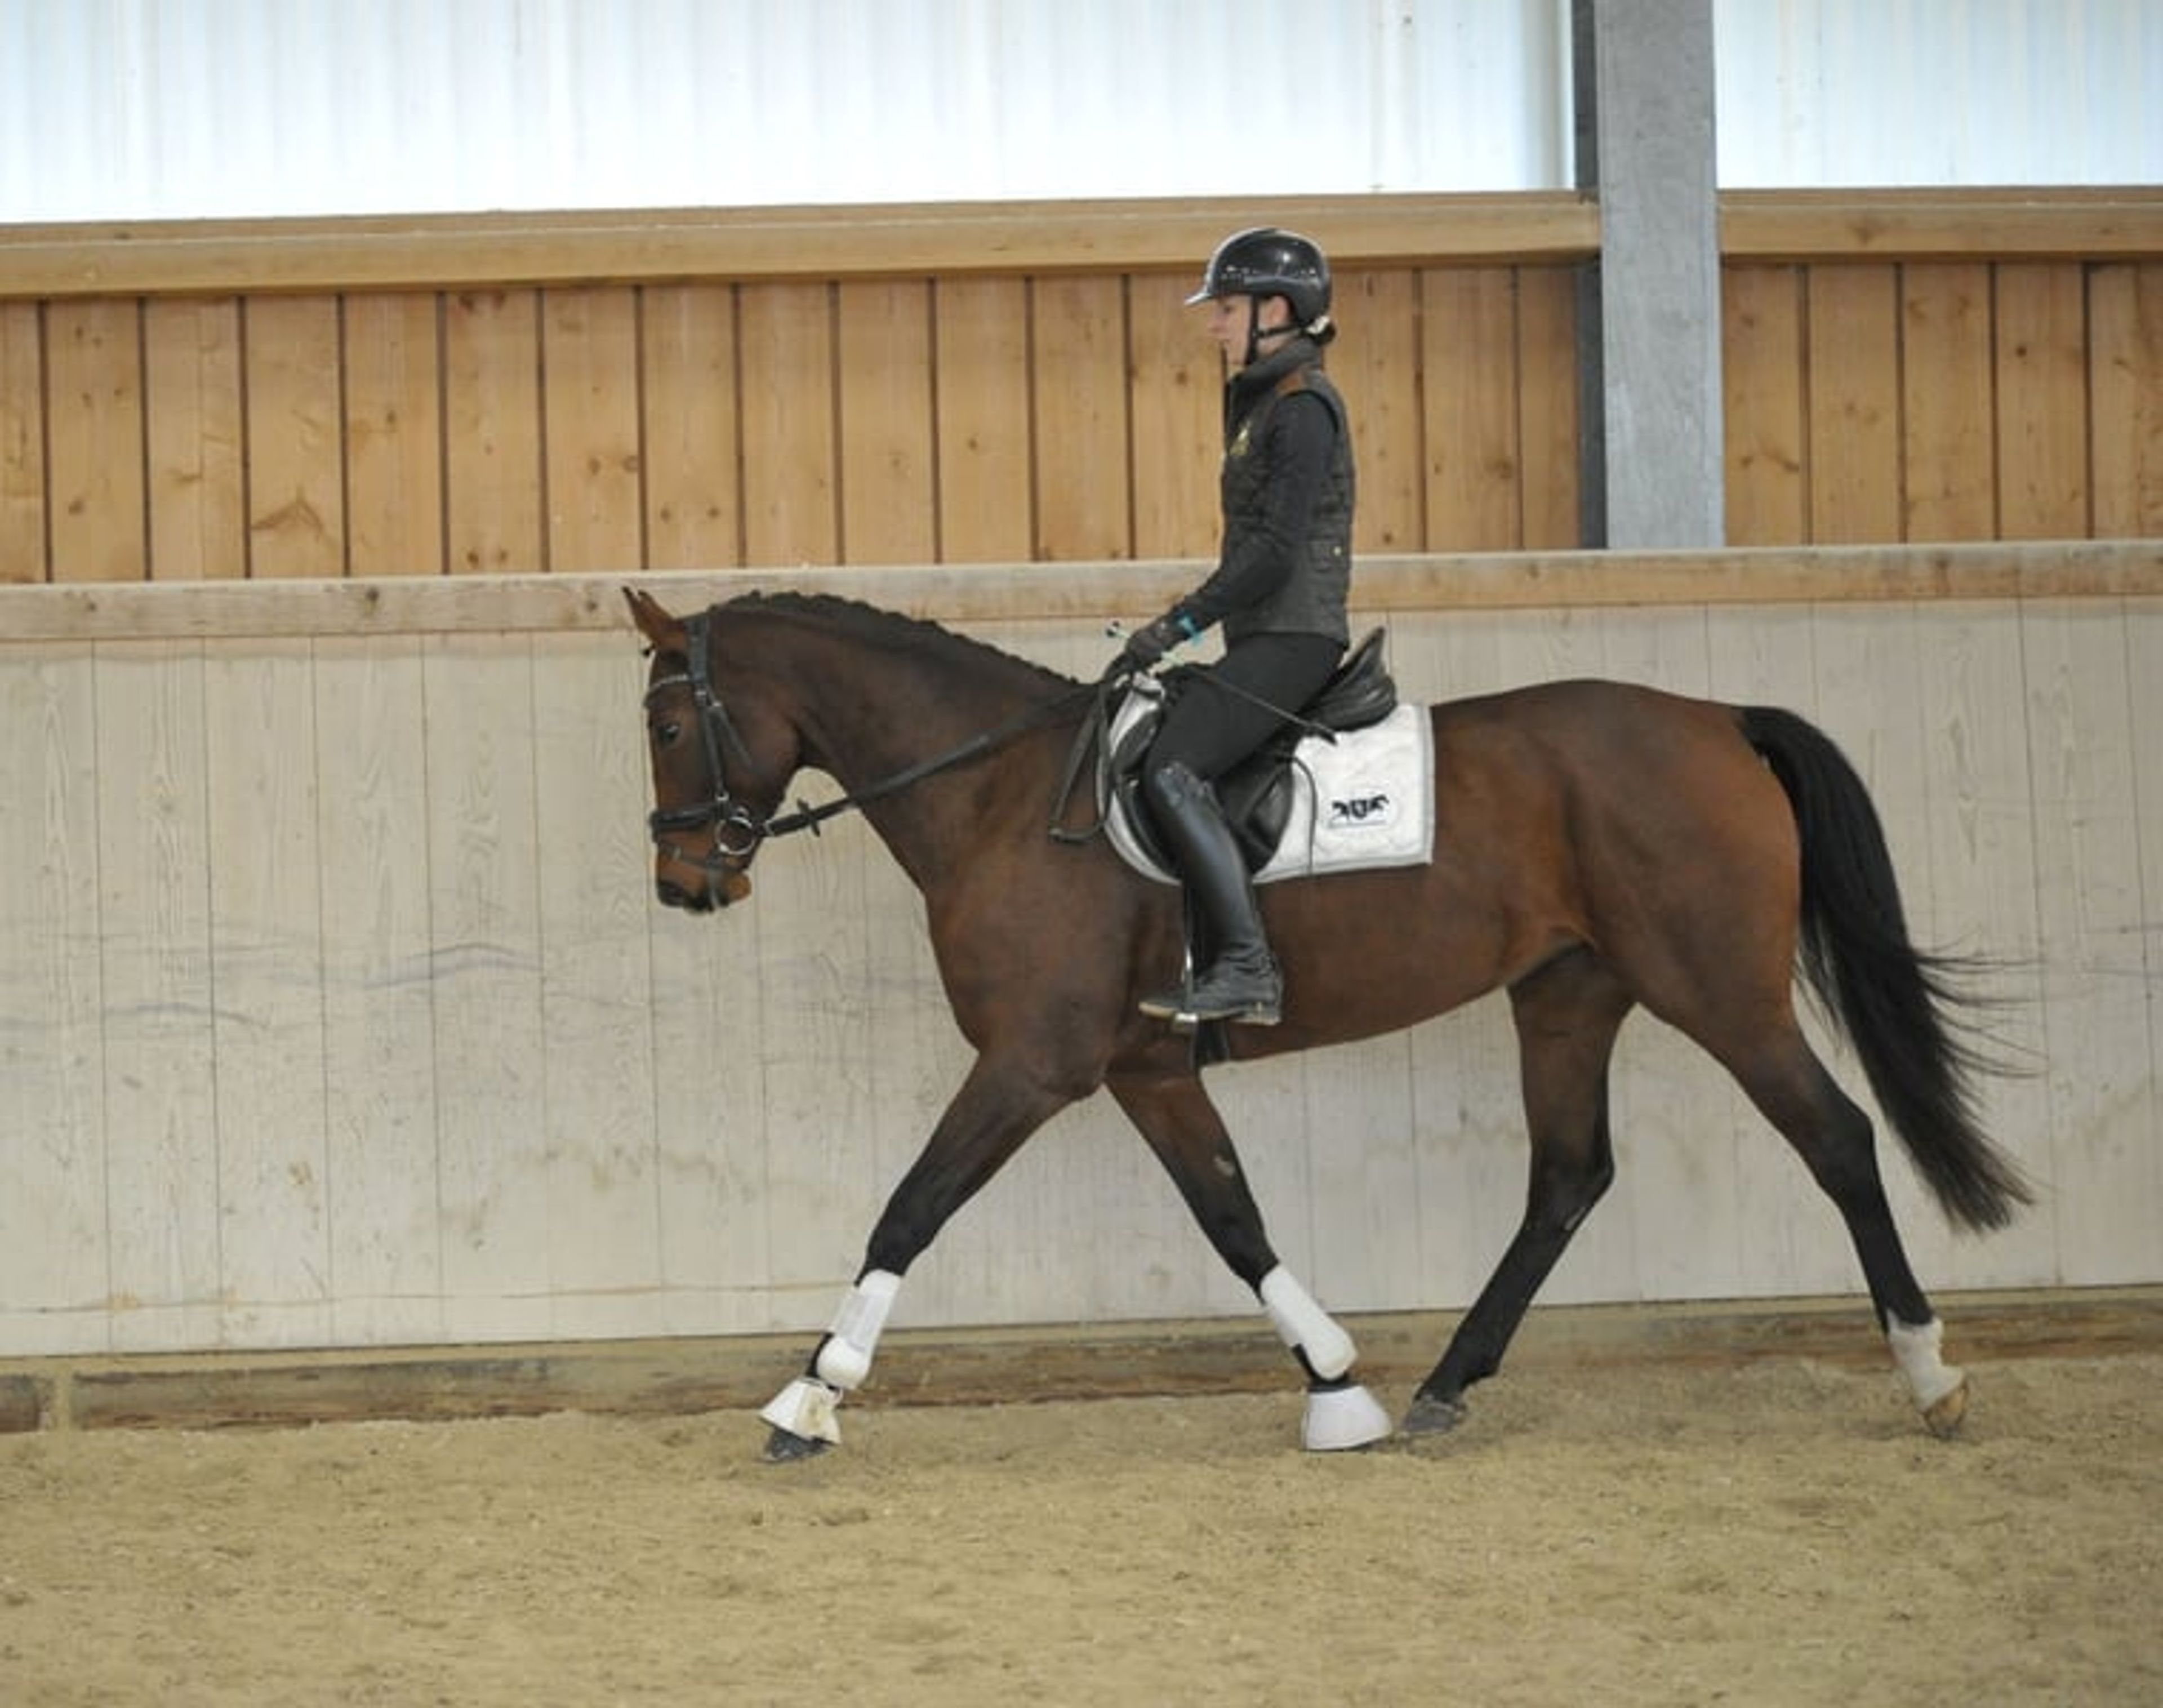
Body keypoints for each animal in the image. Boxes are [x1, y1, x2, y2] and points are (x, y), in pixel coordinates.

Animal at [623, 586, 2029, 1462]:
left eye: (669, 721)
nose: (686, 884)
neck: (1003, 795)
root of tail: (1718, 720)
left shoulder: (1031, 1064)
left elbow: (910, 1209)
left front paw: (810, 1397)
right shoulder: (1143, 1070)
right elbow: (1235, 1219)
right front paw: (1339, 1387)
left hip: (1716, 990)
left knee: (1837, 1139)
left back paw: (1932, 1376)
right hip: (1569, 995)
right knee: (1570, 1177)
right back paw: (1444, 1388)